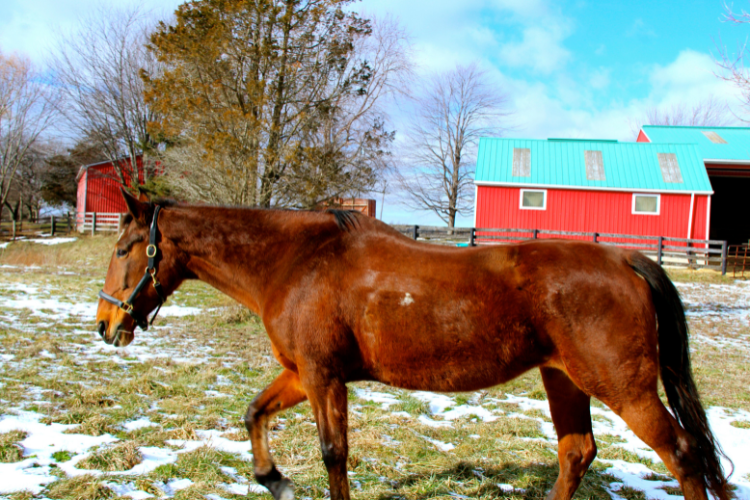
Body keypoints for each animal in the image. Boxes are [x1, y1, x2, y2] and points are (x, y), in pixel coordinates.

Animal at [97, 190, 732, 500]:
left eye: (125, 248)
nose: (105, 324)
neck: (299, 262)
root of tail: (624, 258)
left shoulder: (323, 376)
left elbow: (334, 455)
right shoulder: (304, 374)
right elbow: (254, 413)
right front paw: (274, 479)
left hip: (621, 387)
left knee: (683, 454)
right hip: (565, 380)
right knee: (576, 454)